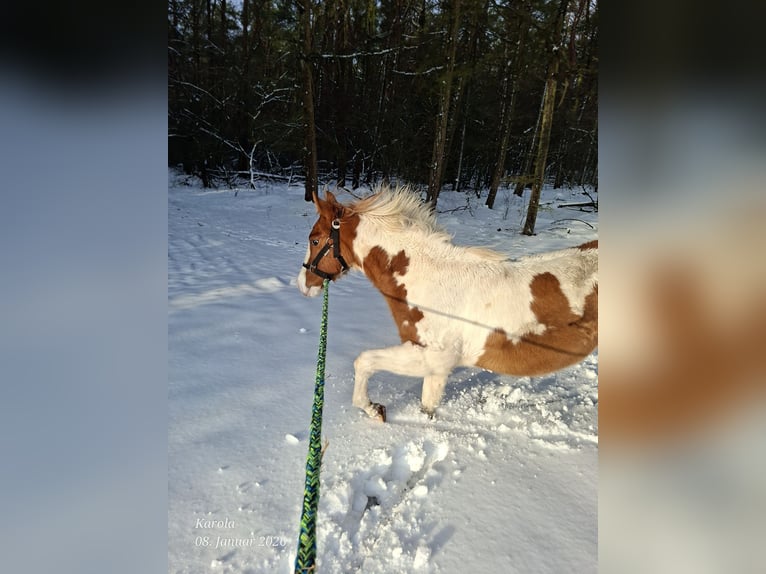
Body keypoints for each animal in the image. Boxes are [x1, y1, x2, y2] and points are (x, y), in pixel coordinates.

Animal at [297, 185, 598, 422]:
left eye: (315, 239)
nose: (303, 285)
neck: (429, 281)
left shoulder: (432, 357)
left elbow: (363, 361)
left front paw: (373, 409)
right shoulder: (435, 369)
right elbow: (427, 407)